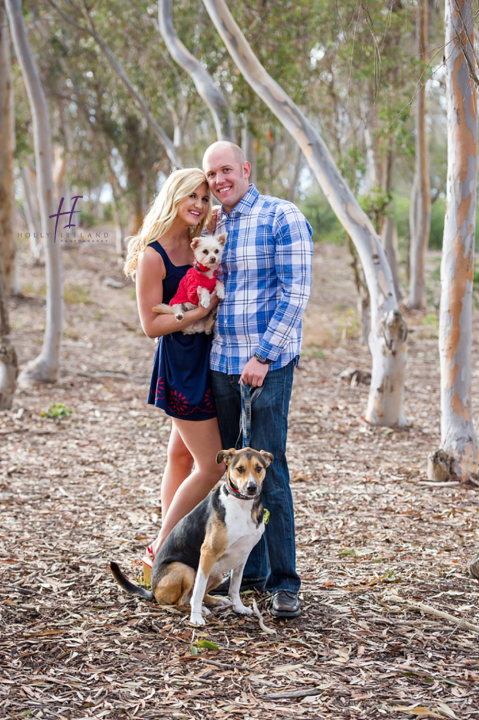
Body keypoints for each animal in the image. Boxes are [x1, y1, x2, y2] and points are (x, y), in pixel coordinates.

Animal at [109, 448, 274, 628]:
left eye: (258, 468)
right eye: (240, 469)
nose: (252, 487)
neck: (241, 504)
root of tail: (153, 590)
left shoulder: (242, 555)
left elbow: (235, 586)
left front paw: (238, 607)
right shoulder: (208, 553)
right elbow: (198, 591)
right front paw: (196, 617)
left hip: (216, 574)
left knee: (193, 596)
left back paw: (215, 601)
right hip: (185, 570)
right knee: (178, 603)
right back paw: (199, 609)